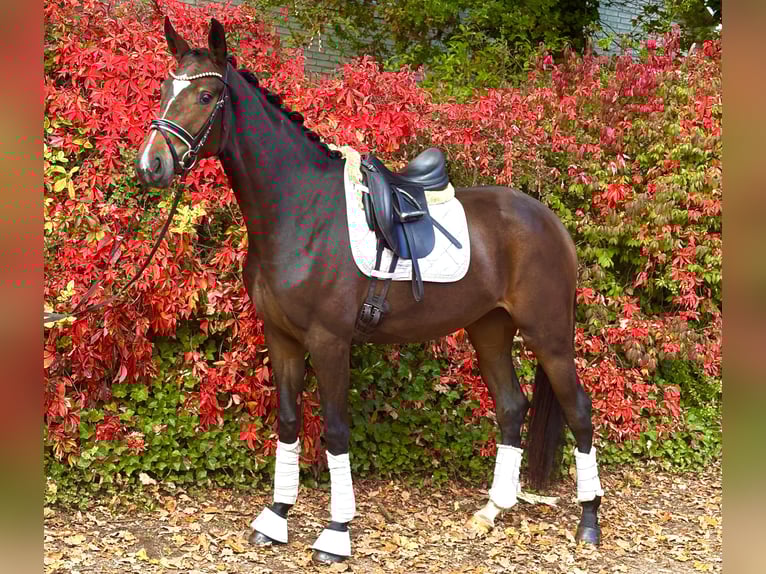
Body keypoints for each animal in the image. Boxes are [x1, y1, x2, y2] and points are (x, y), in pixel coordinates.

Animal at [135, 17, 604, 565]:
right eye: (164, 89)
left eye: (207, 95)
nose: (151, 165)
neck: (302, 212)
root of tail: (550, 222)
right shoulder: (282, 338)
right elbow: (289, 422)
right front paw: (275, 518)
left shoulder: (329, 341)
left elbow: (336, 431)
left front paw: (336, 533)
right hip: (489, 330)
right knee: (512, 407)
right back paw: (491, 511)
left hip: (548, 336)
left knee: (579, 411)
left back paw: (588, 522)